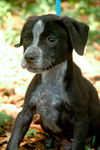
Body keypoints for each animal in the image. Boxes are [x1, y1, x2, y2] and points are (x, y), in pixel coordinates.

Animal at [6, 14, 99, 150]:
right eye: (26, 38)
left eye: (51, 39)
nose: (28, 57)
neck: (51, 78)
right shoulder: (25, 112)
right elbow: (14, 139)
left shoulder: (80, 119)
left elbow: (77, 144)